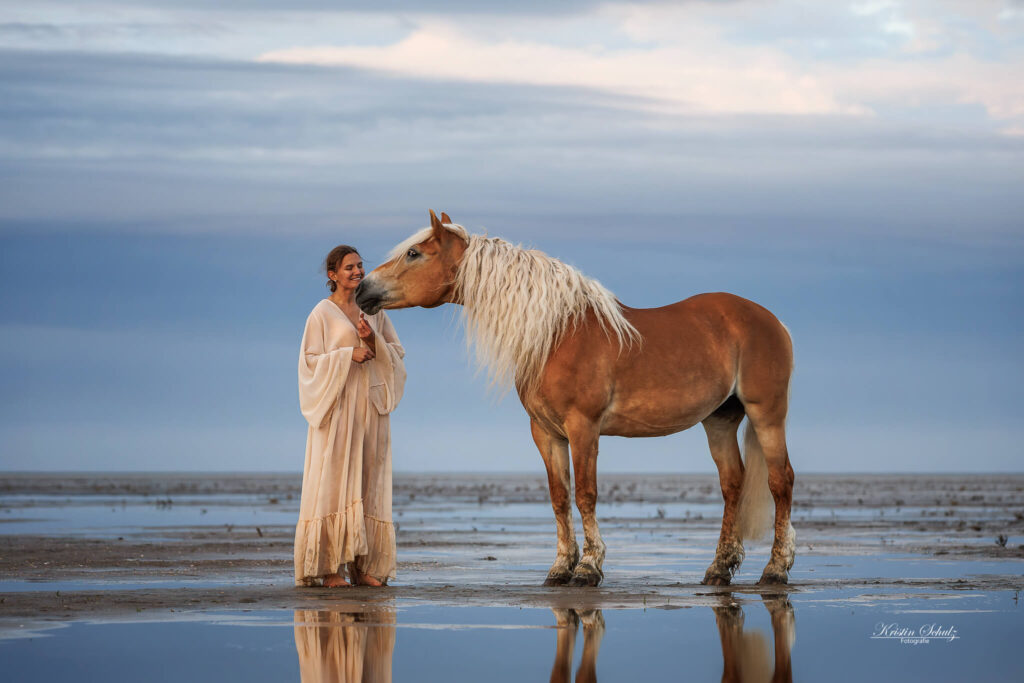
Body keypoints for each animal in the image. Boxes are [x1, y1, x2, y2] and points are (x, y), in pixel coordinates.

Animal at [356, 210, 796, 587]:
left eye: (414, 253)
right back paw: (719, 568)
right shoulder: (546, 432)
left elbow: (585, 493)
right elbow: (559, 497)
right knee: (733, 483)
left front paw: (588, 567)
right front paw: (559, 568)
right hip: (719, 419)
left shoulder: (584, 427)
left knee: (780, 481)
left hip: (766, 414)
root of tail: (772, 320)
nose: (362, 289)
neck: (555, 334)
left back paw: (776, 568)